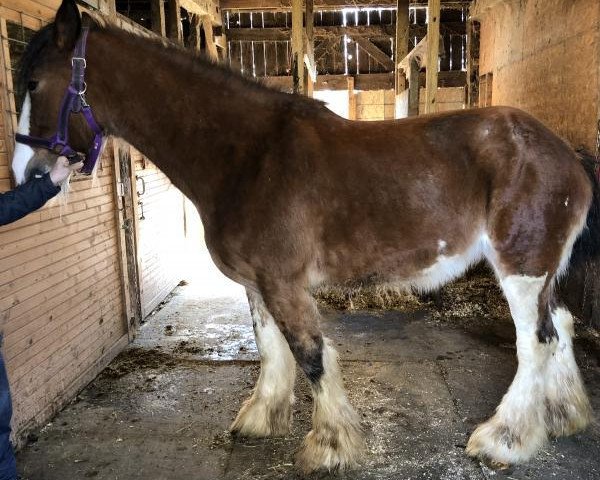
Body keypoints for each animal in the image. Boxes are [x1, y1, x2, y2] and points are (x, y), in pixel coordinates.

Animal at [11, 0, 596, 472]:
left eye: (35, 83)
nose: (28, 174)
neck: (247, 156)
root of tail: (567, 158)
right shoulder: (257, 284)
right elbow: (272, 351)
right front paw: (261, 418)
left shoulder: (283, 283)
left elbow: (310, 355)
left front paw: (330, 446)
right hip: (540, 274)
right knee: (562, 325)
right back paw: (564, 416)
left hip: (521, 269)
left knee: (535, 342)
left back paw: (505, 439)